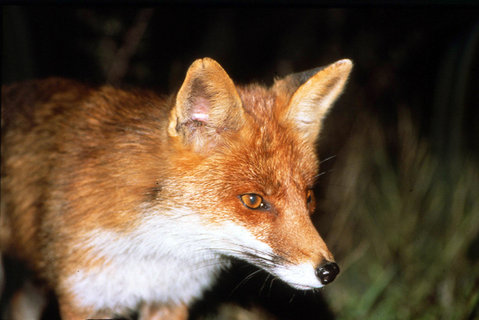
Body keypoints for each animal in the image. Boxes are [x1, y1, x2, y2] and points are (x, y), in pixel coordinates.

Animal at [0, 58, 352, 320]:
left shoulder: (170, 299)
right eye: (253, 200)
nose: (329, 271)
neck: (156, 250)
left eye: (308, 197)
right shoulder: (84, 298)